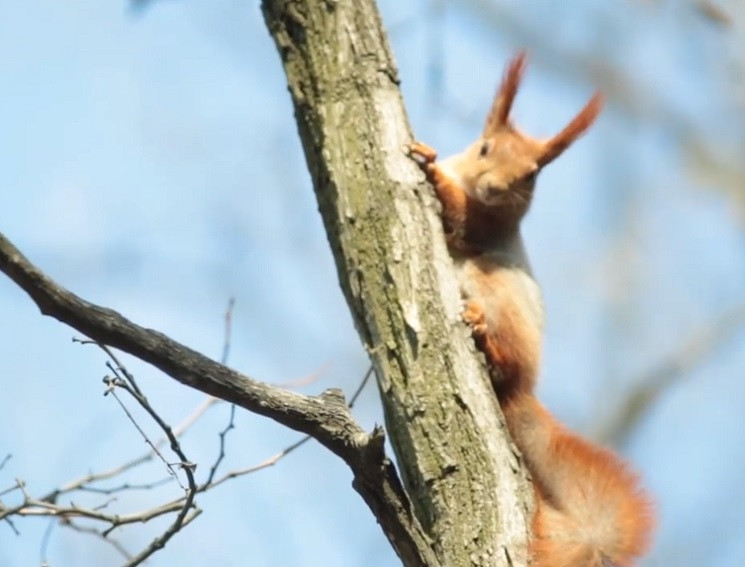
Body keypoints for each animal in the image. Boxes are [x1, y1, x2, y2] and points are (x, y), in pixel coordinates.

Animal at [404, 51, 652, 564]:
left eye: (532, 174)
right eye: (484, 148)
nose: (495, 187)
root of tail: (523, 390)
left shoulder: (485, 229)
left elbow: (461, 219)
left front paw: (433, 172)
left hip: (494, 284)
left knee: (506, 358)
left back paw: (484, 336)